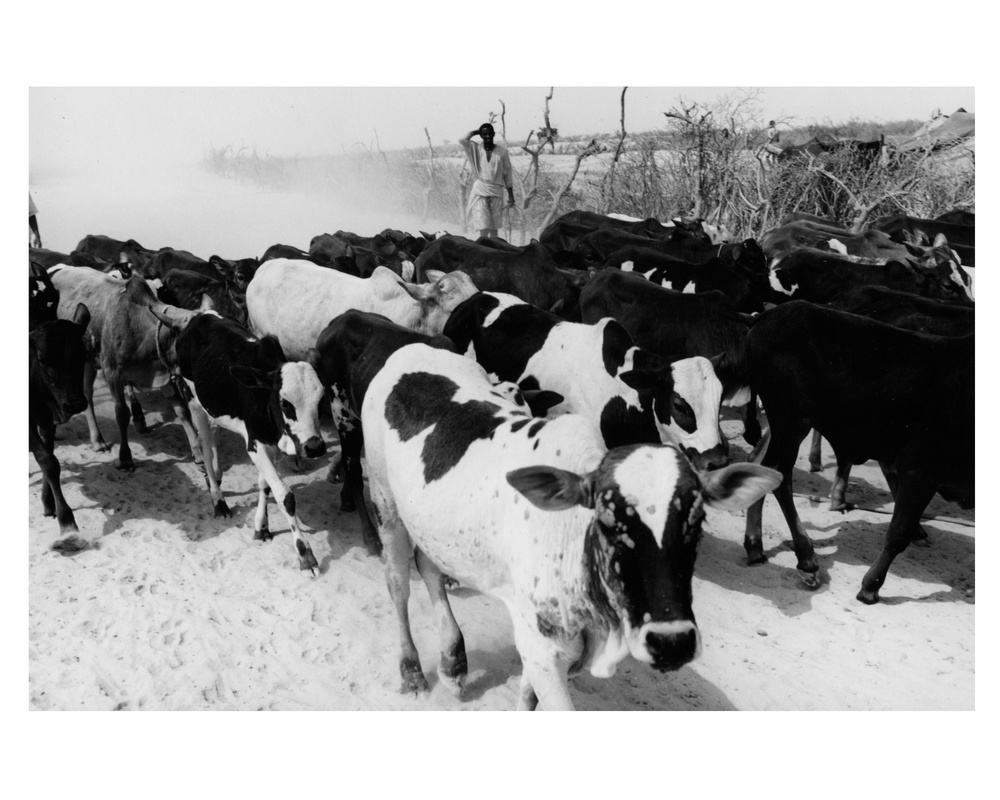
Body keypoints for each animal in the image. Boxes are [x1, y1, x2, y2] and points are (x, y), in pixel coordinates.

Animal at [149, 308, 328, 576]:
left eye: (320, 400)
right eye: (285, 403)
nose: (315, 447)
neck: (263, 397)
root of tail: (199, 315)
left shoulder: (270, 443)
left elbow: (265, 485)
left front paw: (261, 527)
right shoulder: (255, 444)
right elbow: (284, 495)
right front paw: (305, 554)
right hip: (194, 401)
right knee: (204, 446)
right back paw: (218, 500)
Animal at [744, 304, 968, 604]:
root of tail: (771, 313)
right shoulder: (921, 469)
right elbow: (898, 532)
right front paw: (871, 586)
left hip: (784, 424)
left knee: (761, 467)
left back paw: (755, 546)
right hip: (791, 421)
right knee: (779, 476)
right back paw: (806, 558)